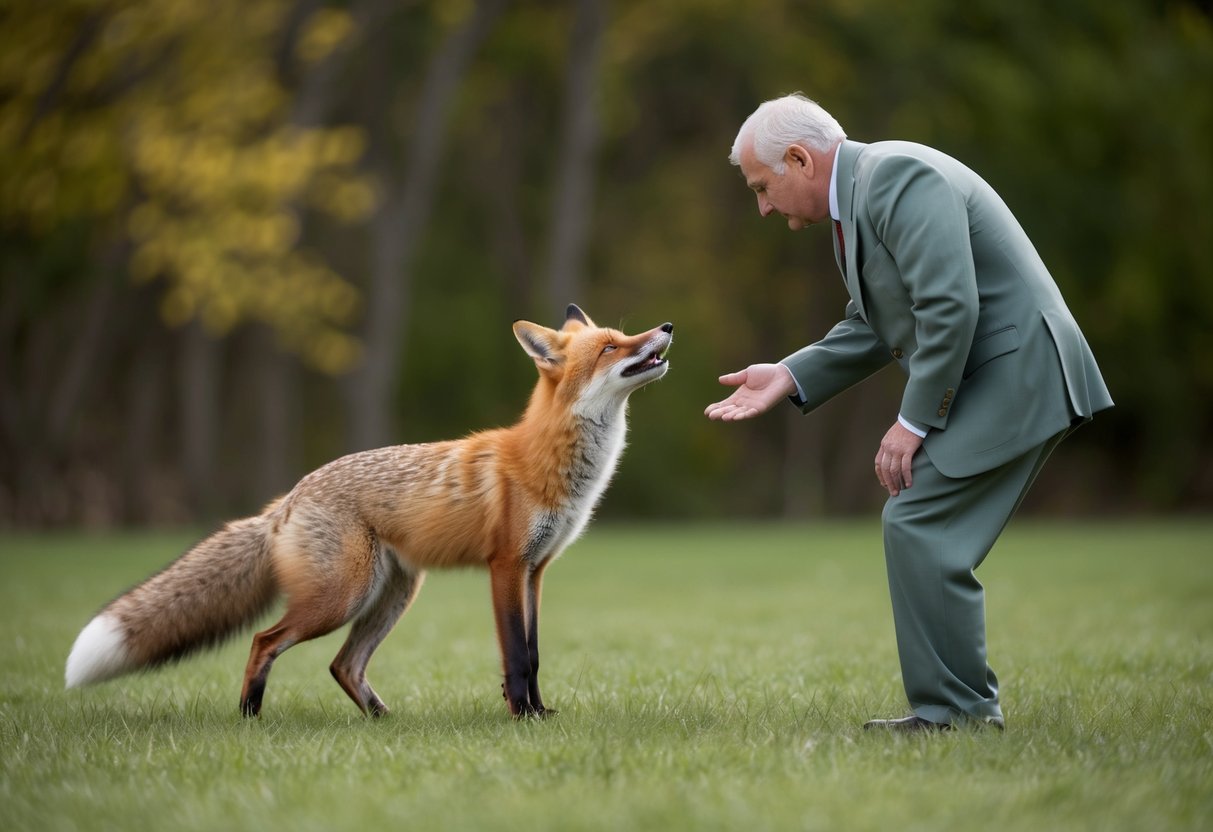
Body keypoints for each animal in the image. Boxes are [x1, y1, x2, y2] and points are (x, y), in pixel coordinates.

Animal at [65, 304, 672, 719]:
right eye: (611, 347)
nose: (665, 328)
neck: (547, 459)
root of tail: (288, 497)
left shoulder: (536, 571)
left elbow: (536, 653)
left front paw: (539, 713)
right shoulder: (505, 567)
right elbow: (517, 656)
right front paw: (523, 718)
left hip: (392, 594)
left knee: (343, 664)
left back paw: (384, 721)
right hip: (342, 597)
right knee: (264, 641)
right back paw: (249, 716)